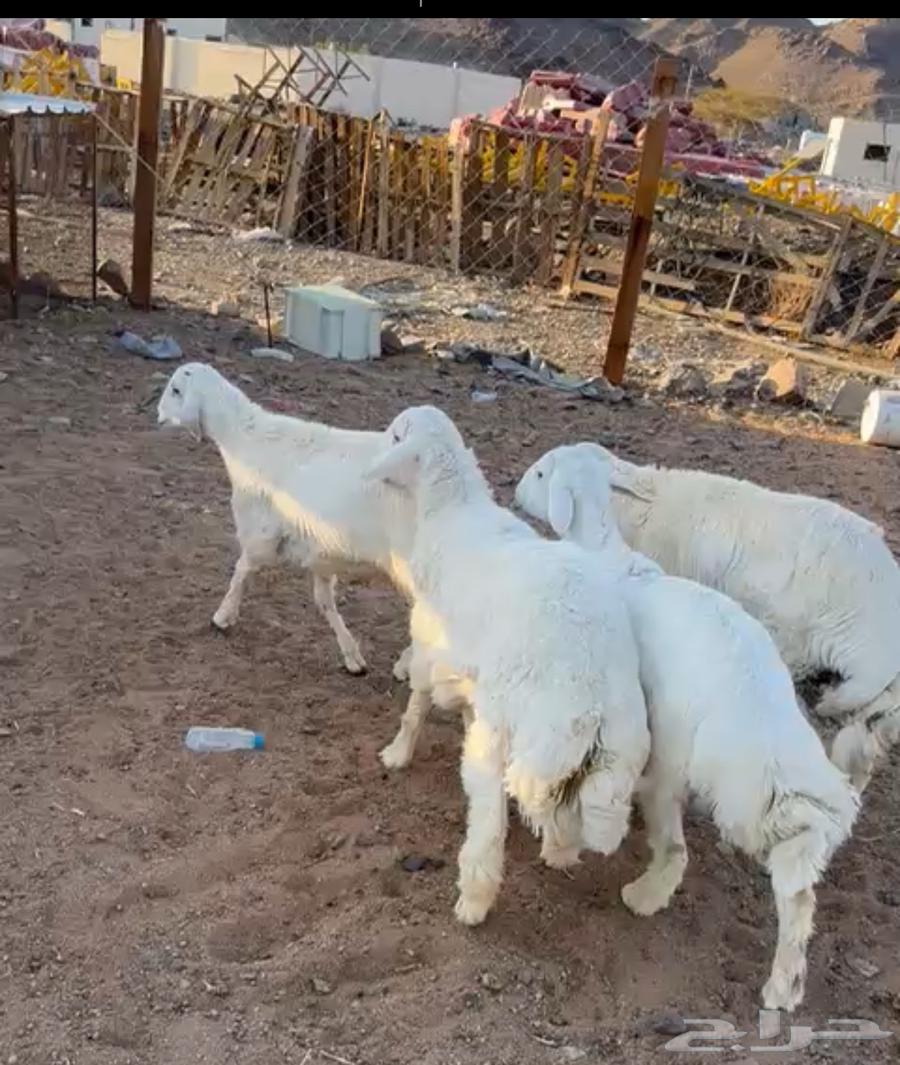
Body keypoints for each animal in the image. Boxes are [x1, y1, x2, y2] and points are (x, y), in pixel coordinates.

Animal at [157, 362, 414, 679]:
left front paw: (222, 617)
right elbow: (324, 601)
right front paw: (352, 655)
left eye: (175, 389)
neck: (243, 438)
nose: (157, 416)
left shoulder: (261, 531)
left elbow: (242, 571)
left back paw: (406, 665)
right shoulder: (320, 548)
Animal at [366, 406, 651, 926]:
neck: (451, 511)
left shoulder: (428, 637)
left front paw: (396, 753)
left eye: (395, 437)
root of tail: (590, 707)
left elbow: (416, 702)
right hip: (607, 764)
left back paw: (474, 902)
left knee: (488, 824)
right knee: (577, 821)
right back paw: (558, 852)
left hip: (506, 736)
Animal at [515, 443, 859, 1012]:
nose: (518, 490)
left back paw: (646, 896)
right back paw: (784, 985)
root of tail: (777, 754)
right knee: (799, 893)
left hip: (696, 768)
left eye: (542, 472)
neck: (611, 557)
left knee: (684, 848)